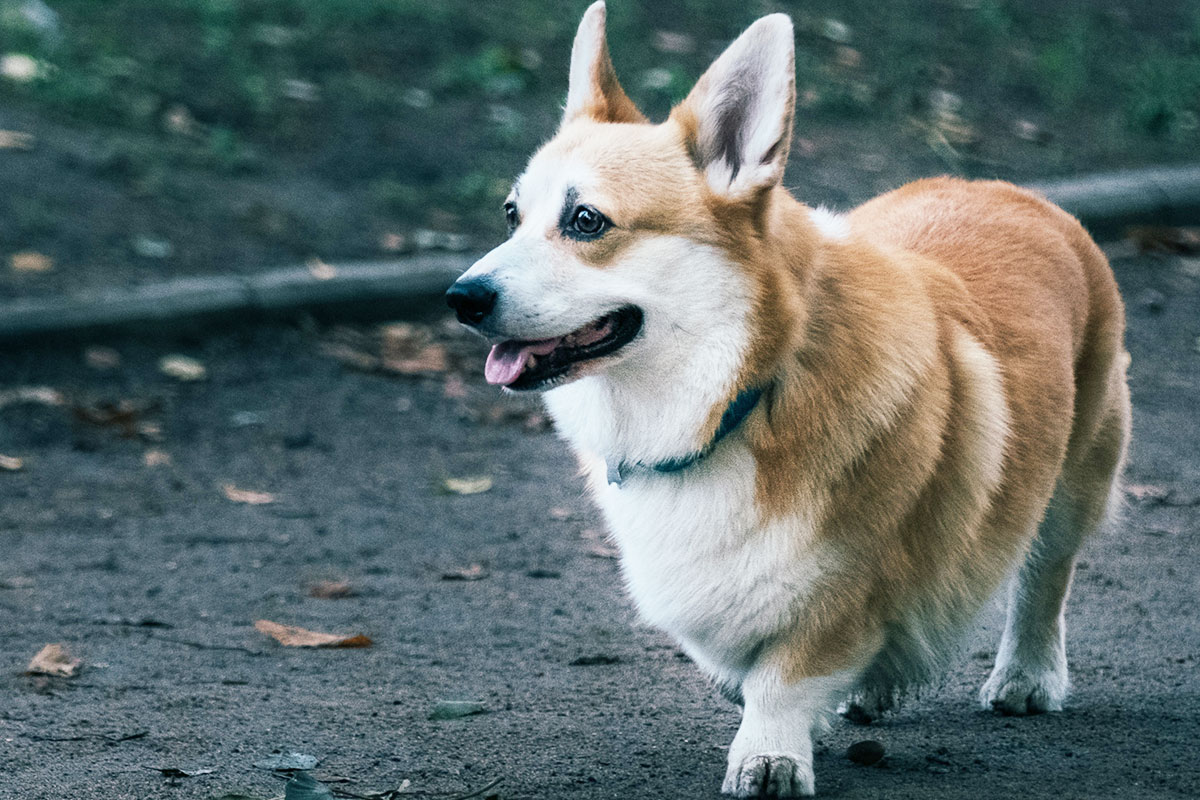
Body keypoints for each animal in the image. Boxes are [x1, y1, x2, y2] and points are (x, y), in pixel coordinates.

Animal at [446, 4, 1128, 796]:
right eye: (511, 214)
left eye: (586, 220)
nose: (460, 298)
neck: (739, 397)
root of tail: (1012, 191)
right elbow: (734, 656)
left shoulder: (846, 581)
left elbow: (784, 674)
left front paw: (770, 754)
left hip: (1075, 475)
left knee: (1045, 576)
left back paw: (1027, 676)